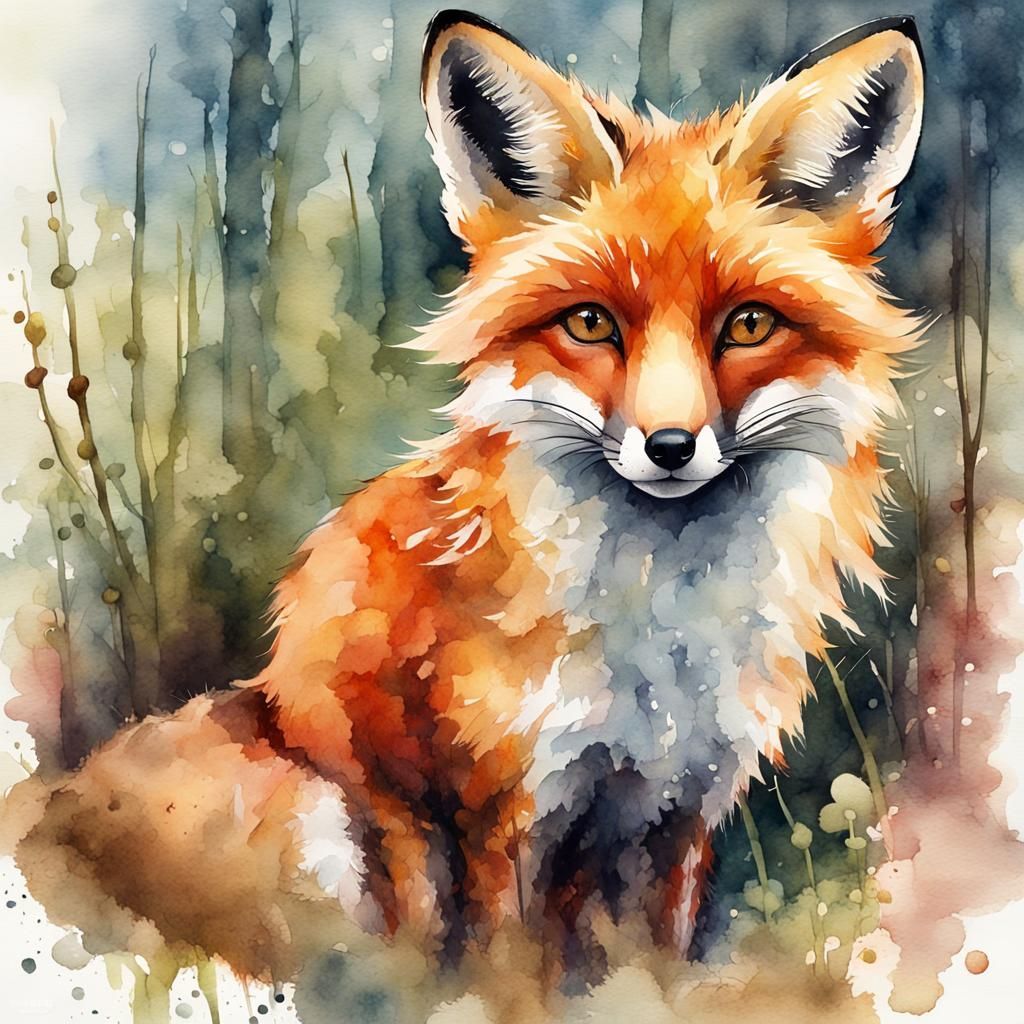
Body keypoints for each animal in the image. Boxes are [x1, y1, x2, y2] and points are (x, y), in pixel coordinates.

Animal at [4, 9, 925, 988]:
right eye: (590, 323)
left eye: (748, 325)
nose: (670, 447)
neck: (655, 635)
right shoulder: (507, 809)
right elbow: (507, 974)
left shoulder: (680, 810)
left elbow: (654, 970)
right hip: (324, 827)